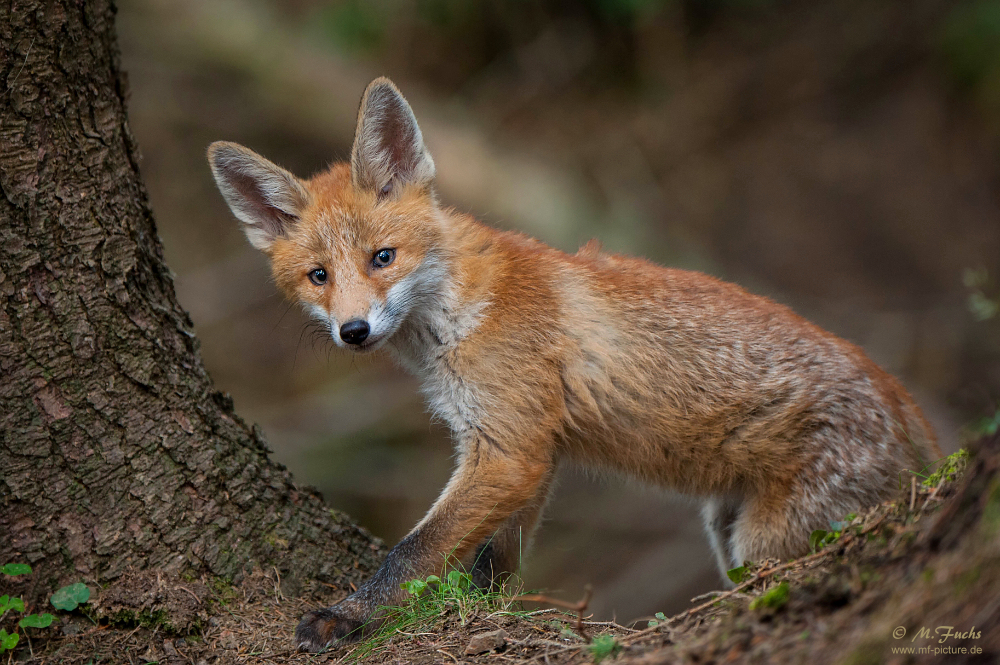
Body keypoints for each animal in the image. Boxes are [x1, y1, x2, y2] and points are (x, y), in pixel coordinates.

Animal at [207, 76, 940, 648]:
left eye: (383, 258)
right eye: (319, 276)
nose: (353, 331)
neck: (462, 316)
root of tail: (915, 415)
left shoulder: (509, 448)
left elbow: (412, 550)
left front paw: (346, 618)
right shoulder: (526, 448)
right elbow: (493, 562)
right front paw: (484, 616)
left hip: (769, 538)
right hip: (726, 527)